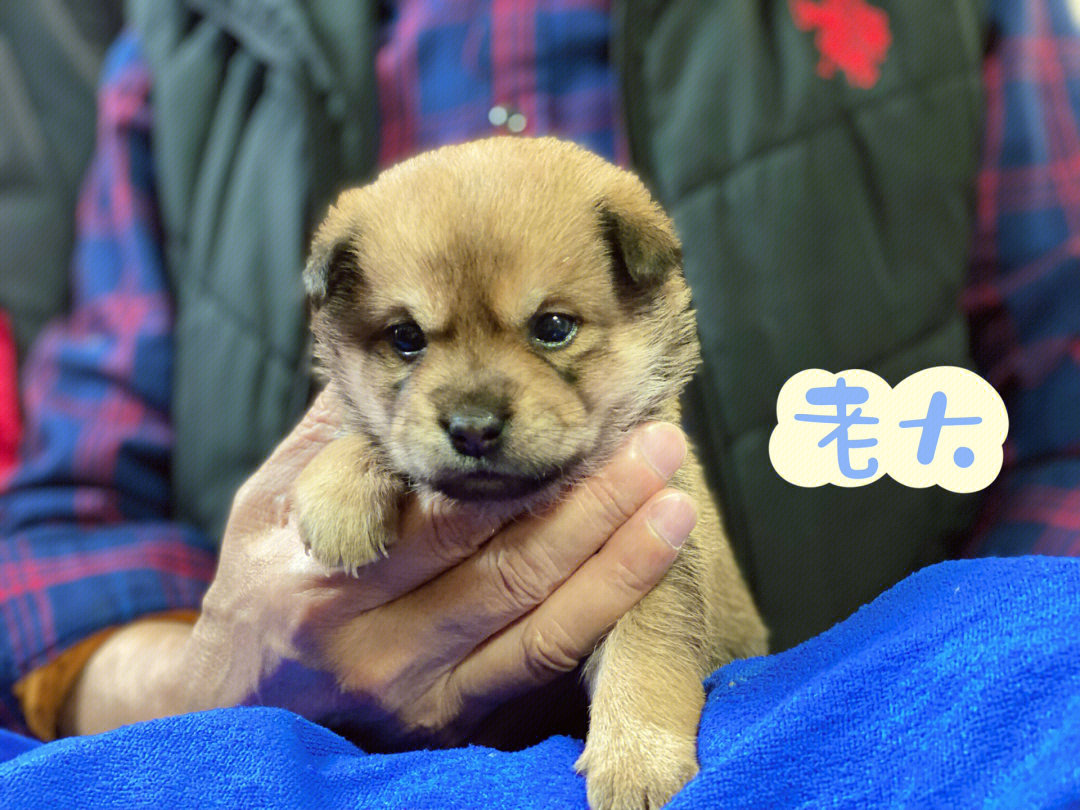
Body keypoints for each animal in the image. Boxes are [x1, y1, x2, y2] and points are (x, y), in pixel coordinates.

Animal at [293, 136, 768, 807]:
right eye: (406, 337)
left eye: (553, 327)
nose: (472, 428)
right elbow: (364, 431)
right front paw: (337, 498)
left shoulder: (658, 556)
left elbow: (646, 654)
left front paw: (636, 761)